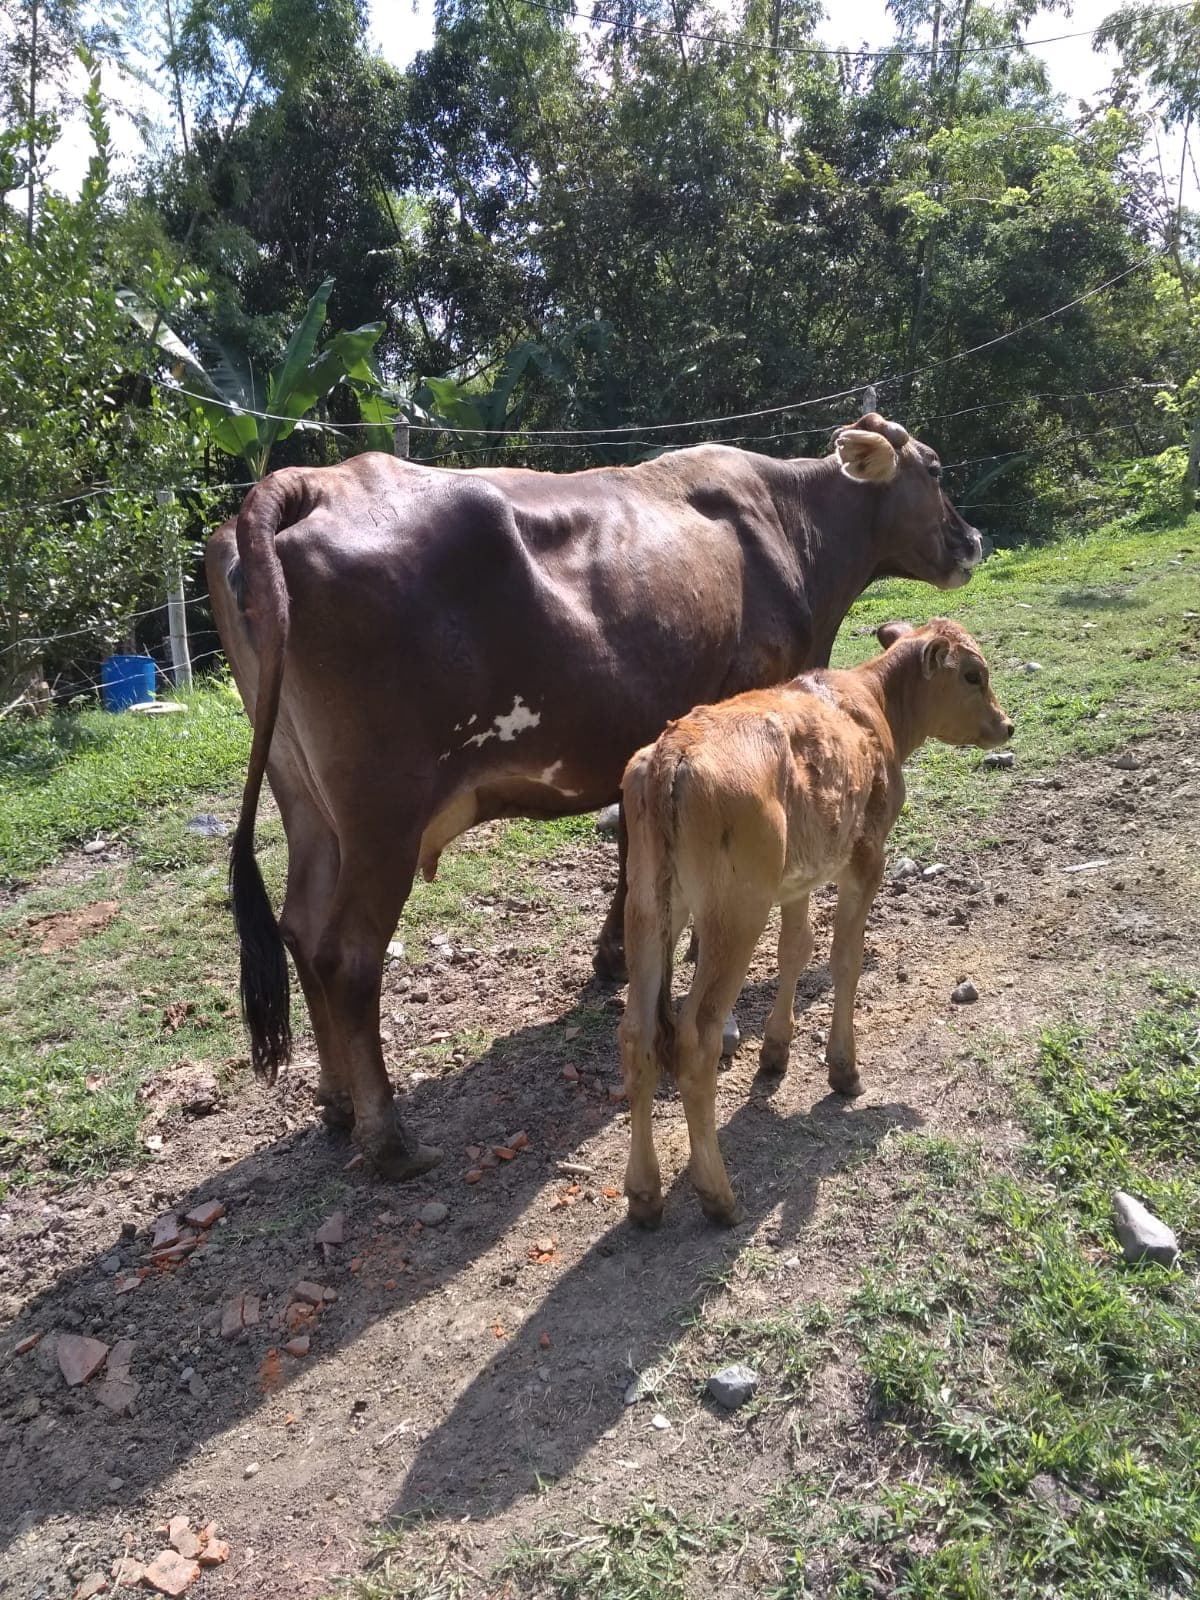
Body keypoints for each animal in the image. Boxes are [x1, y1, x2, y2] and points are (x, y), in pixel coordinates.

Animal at [206, 414, 984, 1180]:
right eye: (936, 469)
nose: (973, 540)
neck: (787, 523)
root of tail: (312, 481)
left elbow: (632, 861)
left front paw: (616, 958)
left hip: (306, 801)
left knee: (301, 930)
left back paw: (336, 1101)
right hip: (382, 816)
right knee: (348, 957)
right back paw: (389, 1138)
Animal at [617, 618, 1013, 1228]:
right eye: (974, 674)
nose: (1006, 725)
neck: (875, 705)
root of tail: (670, 751)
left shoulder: (798, 878)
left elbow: (795, 950)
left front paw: (776, 1051)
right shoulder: (866, 856)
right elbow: (844, 960)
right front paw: (843, 1069)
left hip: (647, 906)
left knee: (637, 1034)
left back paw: (644, 1196)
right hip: (734, 909)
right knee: (695, 1038)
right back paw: (717, 1194)